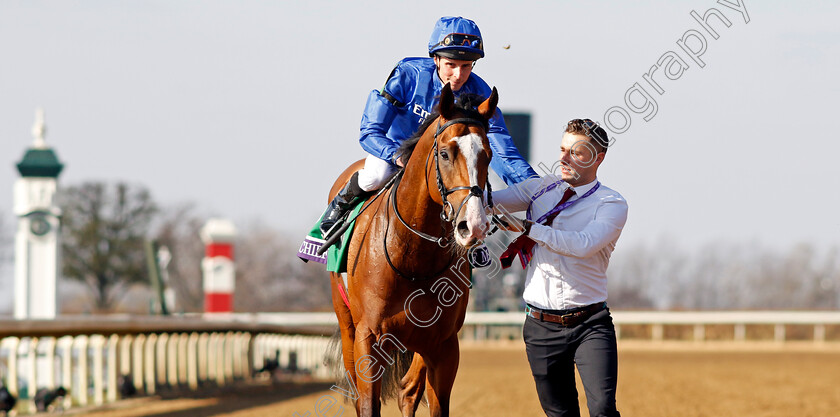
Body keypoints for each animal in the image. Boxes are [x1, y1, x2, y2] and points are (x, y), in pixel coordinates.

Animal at [326, 83, 498, 414]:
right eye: (445, 153)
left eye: (489, 154)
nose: (473, 225)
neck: (413, 257)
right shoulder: (368, 337)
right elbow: (368, 404)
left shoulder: (444, 346)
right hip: (346, 320)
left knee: (408, 390)